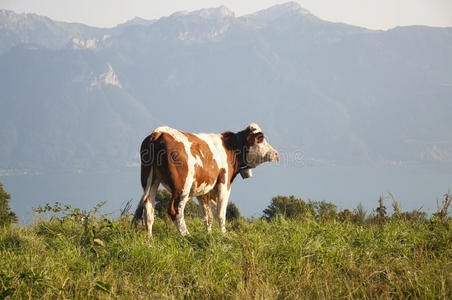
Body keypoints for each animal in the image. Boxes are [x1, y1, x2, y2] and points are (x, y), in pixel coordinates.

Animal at [132, 122, 278, 239]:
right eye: (260, 138)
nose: (275, 153)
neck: (230, 147)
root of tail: (159, 132)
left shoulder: (203, 190)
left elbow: (208, 217)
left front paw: (209, 235)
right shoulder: (224, 184)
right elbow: (220, 214)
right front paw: (223, 235)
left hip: (151, 180)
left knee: (148, 208)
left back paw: (150, 241)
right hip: (182, 187)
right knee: (175, 211)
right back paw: (187, 236)